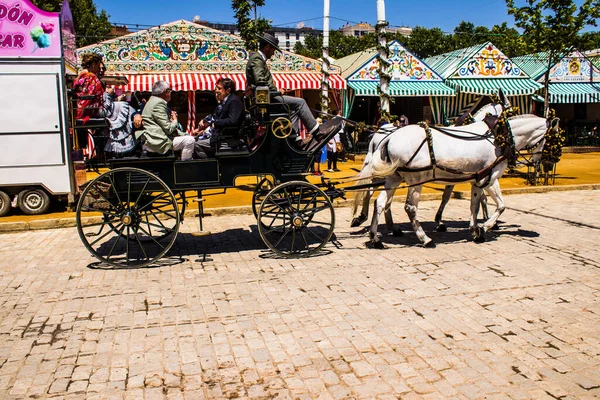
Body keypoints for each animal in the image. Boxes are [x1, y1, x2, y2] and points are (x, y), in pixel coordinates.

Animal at [350, 101, 504, 233]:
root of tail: (381, 135)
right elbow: (468, 197)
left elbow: (465, 197)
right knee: (374, 194)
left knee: (372, 193)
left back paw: (373, 221)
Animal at [356, 112, 556, 248]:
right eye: (554, 139)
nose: (547, 163)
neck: (499, 136)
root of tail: (388, 137)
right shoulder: (490, 178)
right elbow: (500, 205)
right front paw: (485, 227)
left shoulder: (476, 179)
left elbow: (474, 204)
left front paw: (475, 229)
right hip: (415, 179)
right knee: (409, 208)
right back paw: (424, 238)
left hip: (393, 177)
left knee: (380, 202)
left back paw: (375, 237)